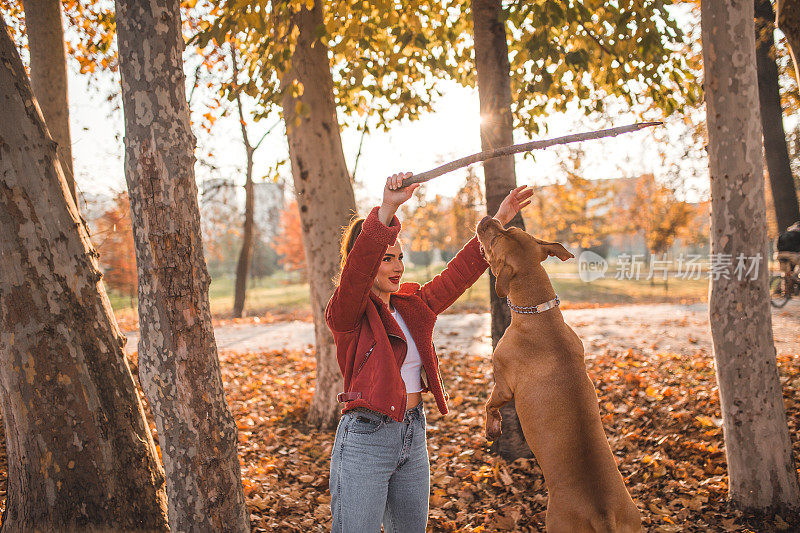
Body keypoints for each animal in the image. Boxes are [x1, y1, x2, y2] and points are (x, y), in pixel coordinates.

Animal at [476, 216, 644, 532]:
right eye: (511, 229)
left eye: (495, 239)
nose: (487, 219)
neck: (540, 315)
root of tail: (602, 514)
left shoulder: (503, 385)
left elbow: (490, 405)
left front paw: (492, 428)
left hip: (556, 521)